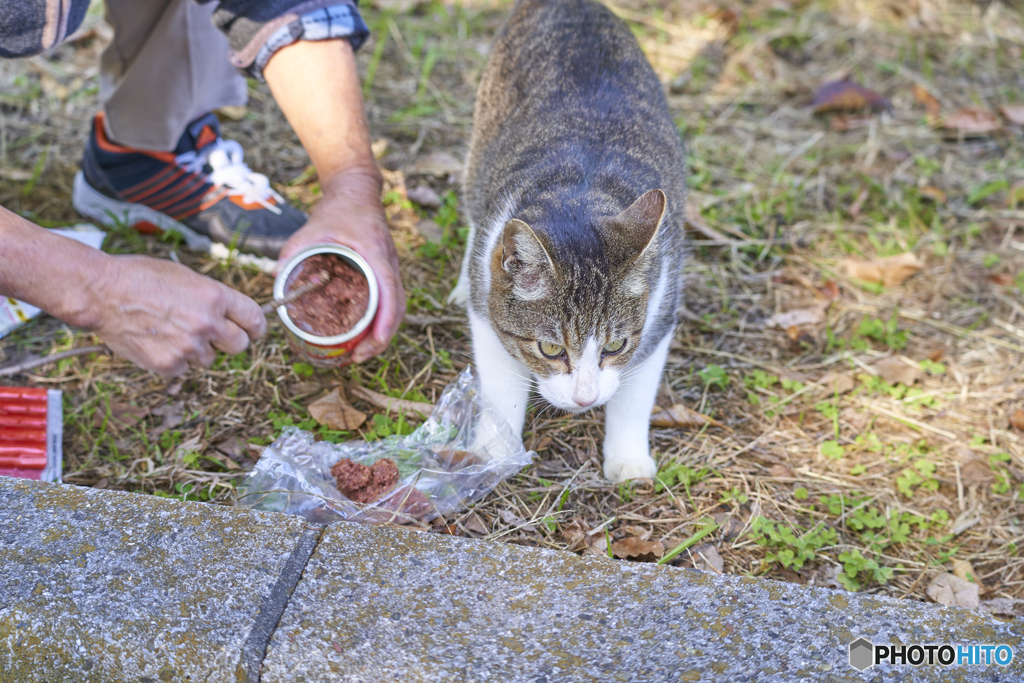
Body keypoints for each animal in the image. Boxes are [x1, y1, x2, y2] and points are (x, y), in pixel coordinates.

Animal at [454, 0, 688, 483]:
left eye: (615, 346)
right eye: (550, 349)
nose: (585, 398)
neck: (581, 193)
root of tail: (569, 3)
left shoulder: (660, 310)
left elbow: (635, 395)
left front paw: (628, 459)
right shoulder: (490, 315)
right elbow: (501, 388)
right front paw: (496, 451)